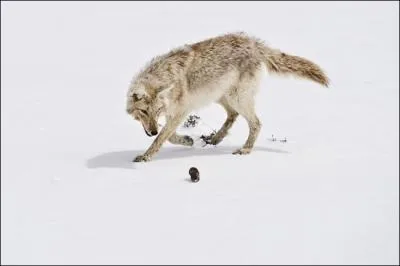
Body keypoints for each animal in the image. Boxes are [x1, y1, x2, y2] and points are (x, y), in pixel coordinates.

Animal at [126, 33, 330, 162]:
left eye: (156, 110)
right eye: (144, 112)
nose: (151, 131)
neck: (164, 75)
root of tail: (254, 43)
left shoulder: (181, 112)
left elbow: (162, 138)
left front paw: (145, 156)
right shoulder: (174, 113)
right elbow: (167, 135)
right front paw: (187, 140)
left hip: (236, 98)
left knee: (256, 123)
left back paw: (245, 149)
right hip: (222, 96)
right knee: (233, 115)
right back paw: (216, 139)